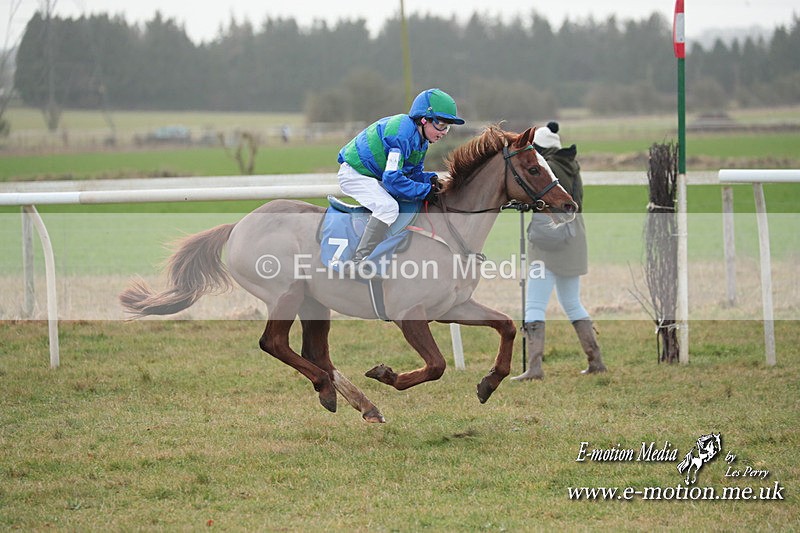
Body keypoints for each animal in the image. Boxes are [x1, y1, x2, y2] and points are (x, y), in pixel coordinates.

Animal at [119, 125, 577, 422]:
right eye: (534, 169)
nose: (569, 205)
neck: (449, 232)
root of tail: (238, 225)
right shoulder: (410, 315)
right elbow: (435, 366)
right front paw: (387, 374)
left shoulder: (453, 306)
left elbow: (506, 326)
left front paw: (488, 383)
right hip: (285, 293)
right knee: (275, 343)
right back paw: (327, 388)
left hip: (314, 301)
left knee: (314, 352)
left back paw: (361, 404)